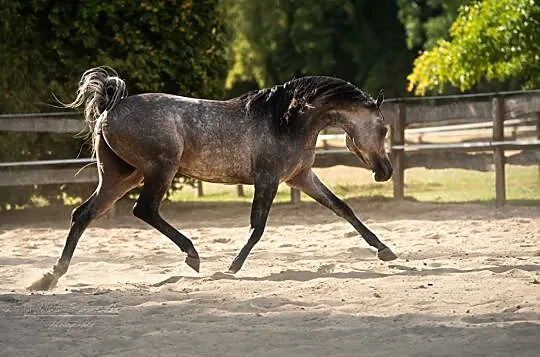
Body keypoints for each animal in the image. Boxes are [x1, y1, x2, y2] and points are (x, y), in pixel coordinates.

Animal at [28, 66, 396, 290]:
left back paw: (49, 278)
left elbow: (342, 208)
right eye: (383, 128)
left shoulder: (300, 177)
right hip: (158, 170)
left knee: (84, 214)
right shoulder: (268, 180)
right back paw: (193, 256)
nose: (386, 172)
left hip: (121, 176)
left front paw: (386, 251)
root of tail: (109, 108)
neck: (287, 119)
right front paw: (231, 268)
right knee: (143, 210)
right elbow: (257, 227)